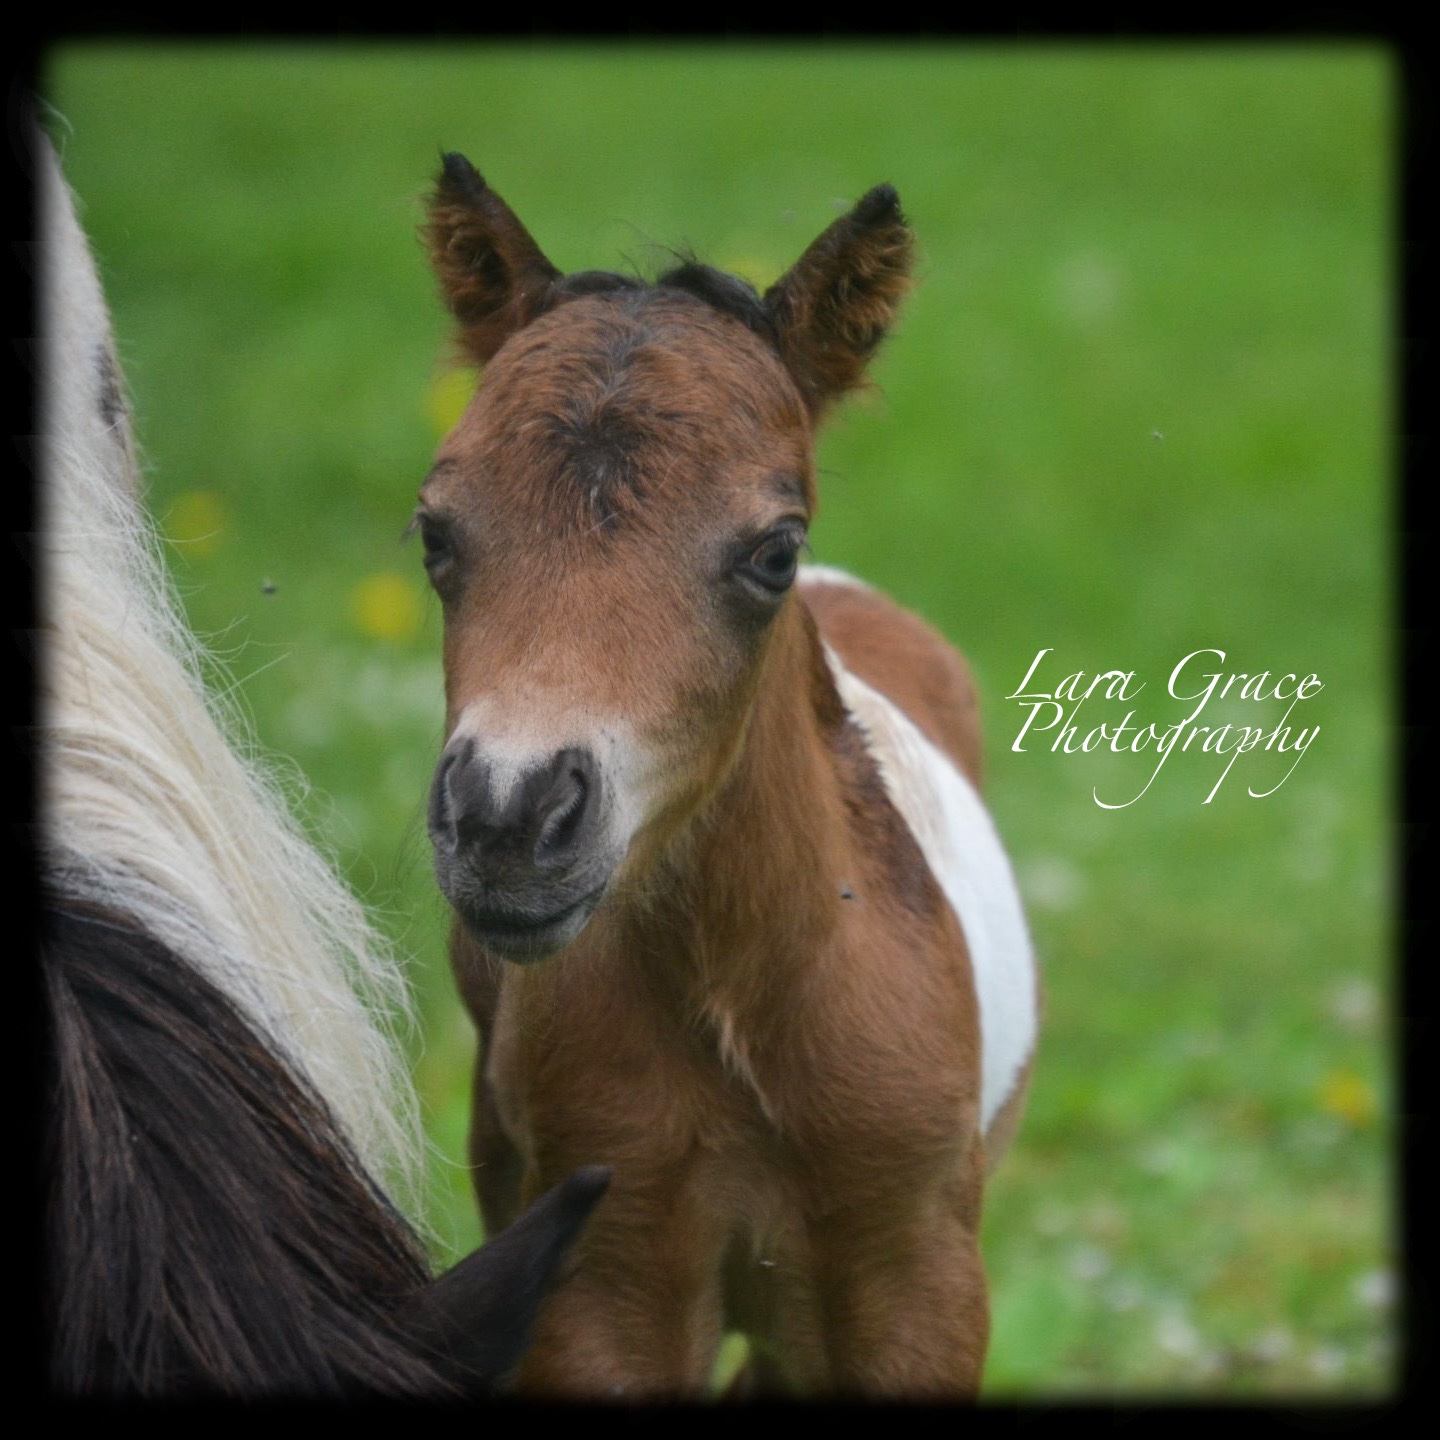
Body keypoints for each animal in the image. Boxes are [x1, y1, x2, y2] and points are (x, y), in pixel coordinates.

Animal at [417, 153, 1039, 1398]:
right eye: (434, 534)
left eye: (772, 553)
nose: (506, 816)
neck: (751, 1013)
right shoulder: (598, 1280)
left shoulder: (921, 1286)